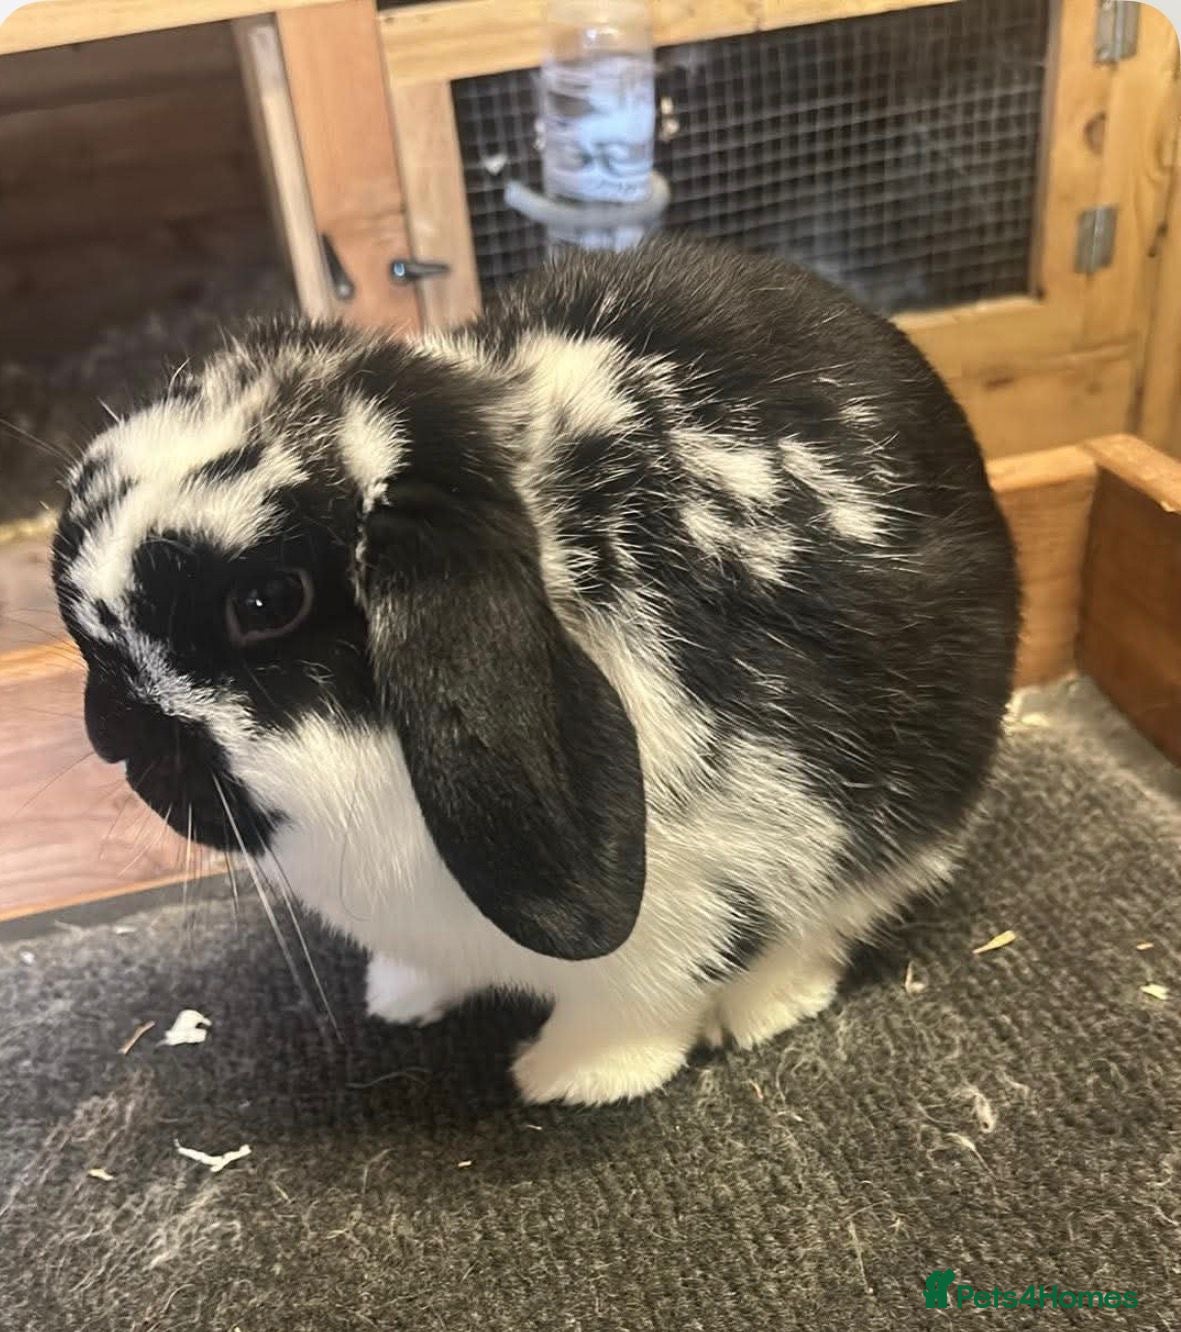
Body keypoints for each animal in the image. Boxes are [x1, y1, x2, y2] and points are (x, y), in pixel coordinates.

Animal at [52, 238, 1019, 1106]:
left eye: (265, 603)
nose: (108, 730)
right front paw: (400, 999)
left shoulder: (681, 917)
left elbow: (635, 1009)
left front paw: (569, 1078)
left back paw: (762, 1006)